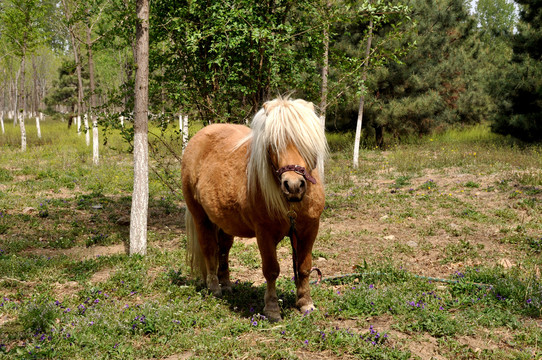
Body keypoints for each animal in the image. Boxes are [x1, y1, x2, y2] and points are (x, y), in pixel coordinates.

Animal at [182, 97, 328, 320]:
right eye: (272, 145)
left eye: (307, 142)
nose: (293, 185)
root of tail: (197, 138)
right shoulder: (264, 233)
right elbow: (271, 270)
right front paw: (272, 308)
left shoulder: (309, 230)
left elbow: (304, 268)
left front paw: (305, 303)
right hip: (201, 218)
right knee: (209, 249)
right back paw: (214, 287)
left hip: (225, 222)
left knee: (223, 249)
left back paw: (226, 284)